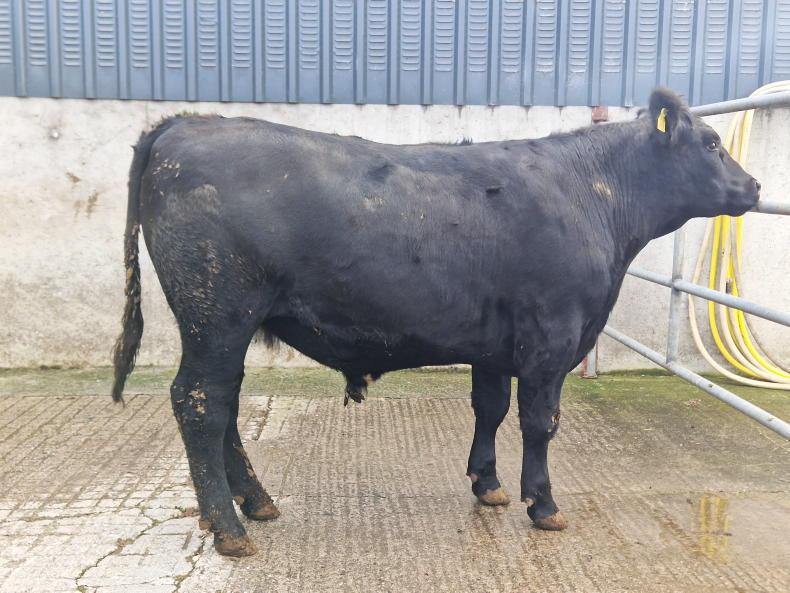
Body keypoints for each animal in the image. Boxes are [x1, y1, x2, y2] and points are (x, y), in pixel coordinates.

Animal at [111, 88, 760, 556]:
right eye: (710, 143)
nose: (754, 185)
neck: (592, 195)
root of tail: (183, 123)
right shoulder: (552, 337)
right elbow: (540, 422)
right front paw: (543, 505)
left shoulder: (496, 345)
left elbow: (490, 408)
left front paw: (488, 486)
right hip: (216, 314)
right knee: (201, 403)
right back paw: (230, 528)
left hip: (227, 326)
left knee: (224, 405)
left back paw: (256, 502)